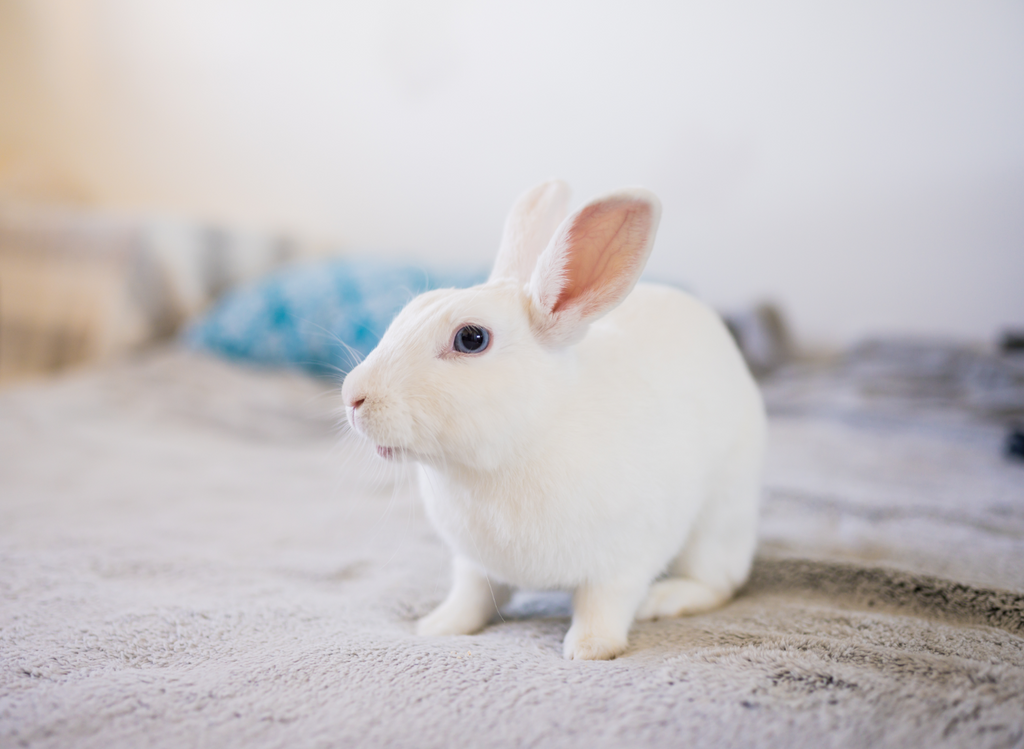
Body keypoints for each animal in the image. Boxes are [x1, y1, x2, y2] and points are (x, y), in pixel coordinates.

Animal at [339, 181, 765, 663]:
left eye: (471, 338)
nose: (353, 397)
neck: (512, 452)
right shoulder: (475, 564)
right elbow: (470, 597)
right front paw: (438, 626)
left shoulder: (622, 564)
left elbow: (604, 605)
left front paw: (589, 649)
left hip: (719, 522)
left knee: (718, 583)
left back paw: (666, 599)